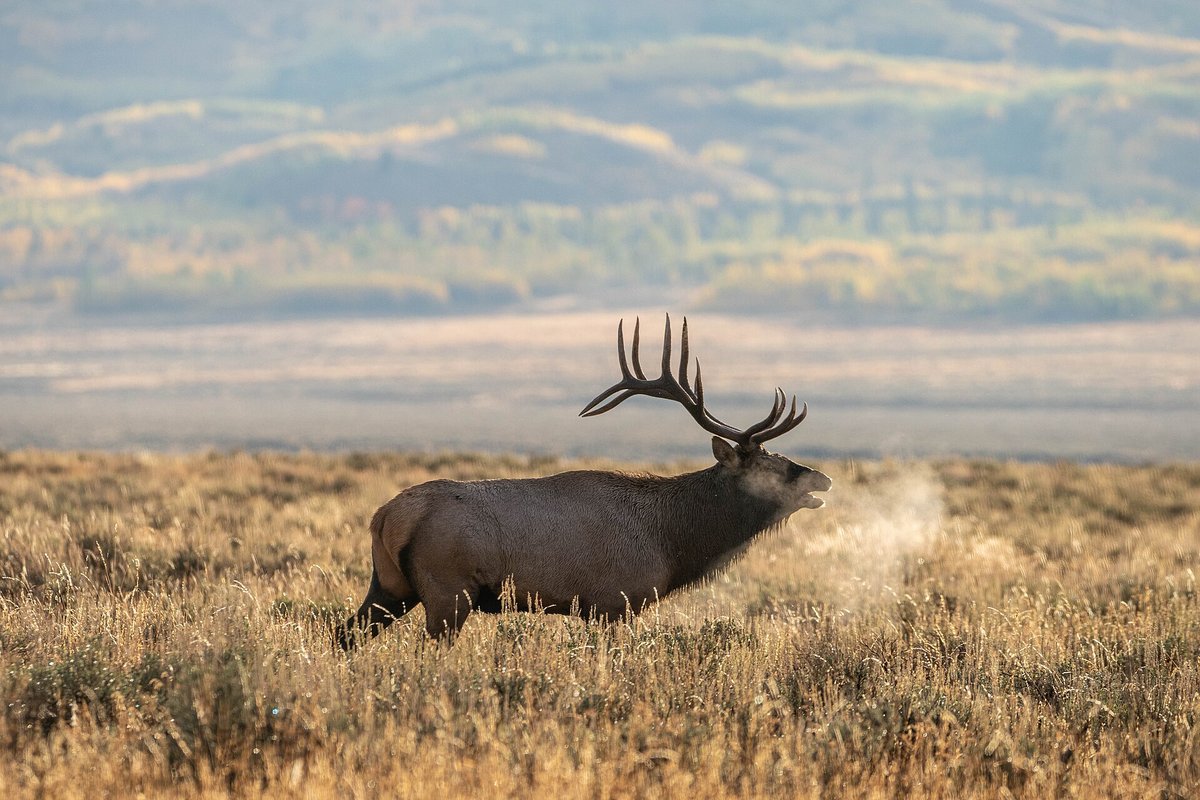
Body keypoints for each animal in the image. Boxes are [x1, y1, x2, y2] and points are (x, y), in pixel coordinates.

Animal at [336, 315, 831, 647]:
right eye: (769, 465)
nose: (822, 479)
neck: (672, 542)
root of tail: (384, 517)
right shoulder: (613, 603)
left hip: (391, 586)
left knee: (344, 634)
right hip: (447, 591)